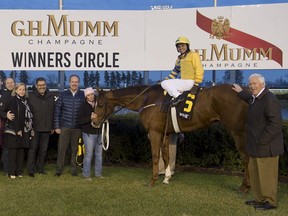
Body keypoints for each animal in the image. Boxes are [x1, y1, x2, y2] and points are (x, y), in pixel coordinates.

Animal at [91, 83, 250, 192]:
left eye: (100, 104)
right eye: (93, 103)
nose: (94, 122)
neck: (147, 99)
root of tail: (243, 92)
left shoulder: (154, 132)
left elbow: (156, 156)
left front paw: (153, 181)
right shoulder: (166, 133)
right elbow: (166, 155)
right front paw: (166, 178)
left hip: (238, 132)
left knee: (246, 157)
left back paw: (245, 187)